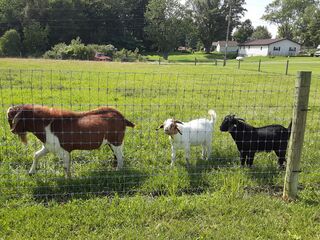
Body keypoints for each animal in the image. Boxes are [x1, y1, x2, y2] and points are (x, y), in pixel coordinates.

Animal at [7, 104, 135, 177]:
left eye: (12, 118)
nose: (12, 131)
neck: (47, 125)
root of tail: (121, 117)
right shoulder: (48, 146)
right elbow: (36, 155)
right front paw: (31, 172)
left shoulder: (64, 150)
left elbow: (65, 166)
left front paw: (68, 180)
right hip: (112, 142)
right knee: (117, 155)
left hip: (116, 141)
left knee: (120, 156)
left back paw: (117, 171)